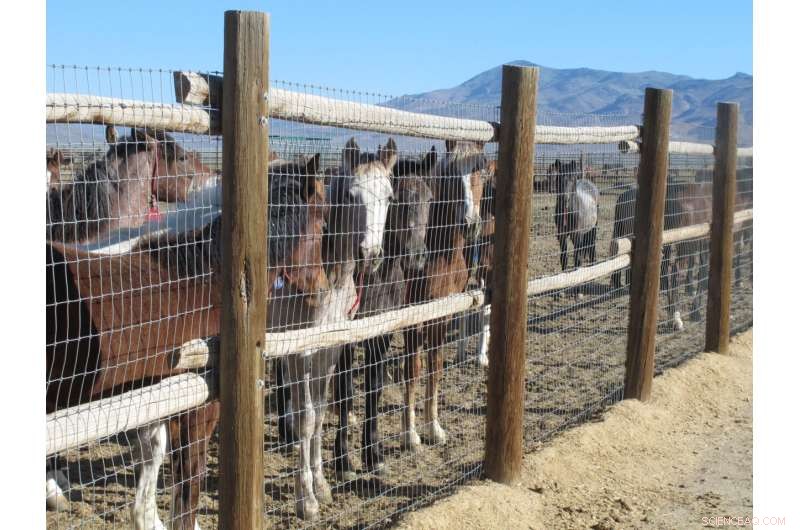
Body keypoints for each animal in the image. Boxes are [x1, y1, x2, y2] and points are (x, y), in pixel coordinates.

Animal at [331, 147, 436, 479]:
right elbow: (346, 390)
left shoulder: (382, 332)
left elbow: (374, 389)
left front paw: (373, 455)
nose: (417, 257)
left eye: (430, 197)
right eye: (399, 199)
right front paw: (344, 461)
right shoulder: (345, 338)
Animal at [401, 139, 487, 449]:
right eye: (450, 175)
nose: (470, 223)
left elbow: (435, 367)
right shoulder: (412, 316)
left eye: (482, 171)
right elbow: (413, 370)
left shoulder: (443, 312)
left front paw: (434, 427)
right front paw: (410, 434)